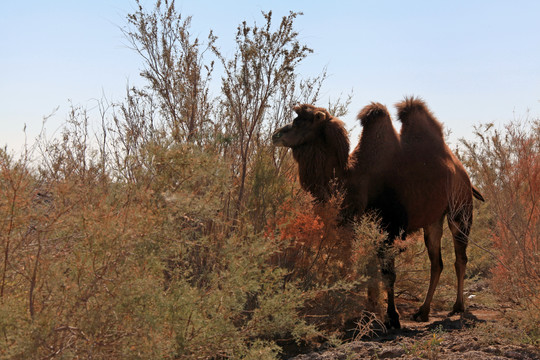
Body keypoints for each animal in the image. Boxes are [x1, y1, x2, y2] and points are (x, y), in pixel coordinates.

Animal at [274, 99, 486, 330]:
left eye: (300, 121)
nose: (276, 135)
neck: (354, 179)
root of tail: (463, 173)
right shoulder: (364, 229)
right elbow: (370, 271)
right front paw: (369, 314)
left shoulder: (389, 229)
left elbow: (388, 274)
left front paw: (392, 317)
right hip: (433, 220)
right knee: (437, 263)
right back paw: (422, 311)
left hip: (460, 211)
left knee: (460, 258)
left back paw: (458, 306)